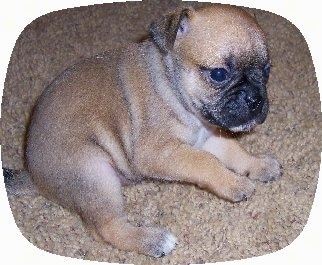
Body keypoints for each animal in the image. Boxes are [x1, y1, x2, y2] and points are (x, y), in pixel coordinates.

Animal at [25, 4, 282, 256]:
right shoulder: (160, 152)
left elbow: (235, 152)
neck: (174, 88)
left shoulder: (208, 137)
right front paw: (234, 183)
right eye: (219, 74)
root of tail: (32, 176)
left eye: (267, 70)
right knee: (106, 229)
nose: (256, 100)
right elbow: (205, 161)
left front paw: (259, 165)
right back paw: (153, 240)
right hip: (95, 173)